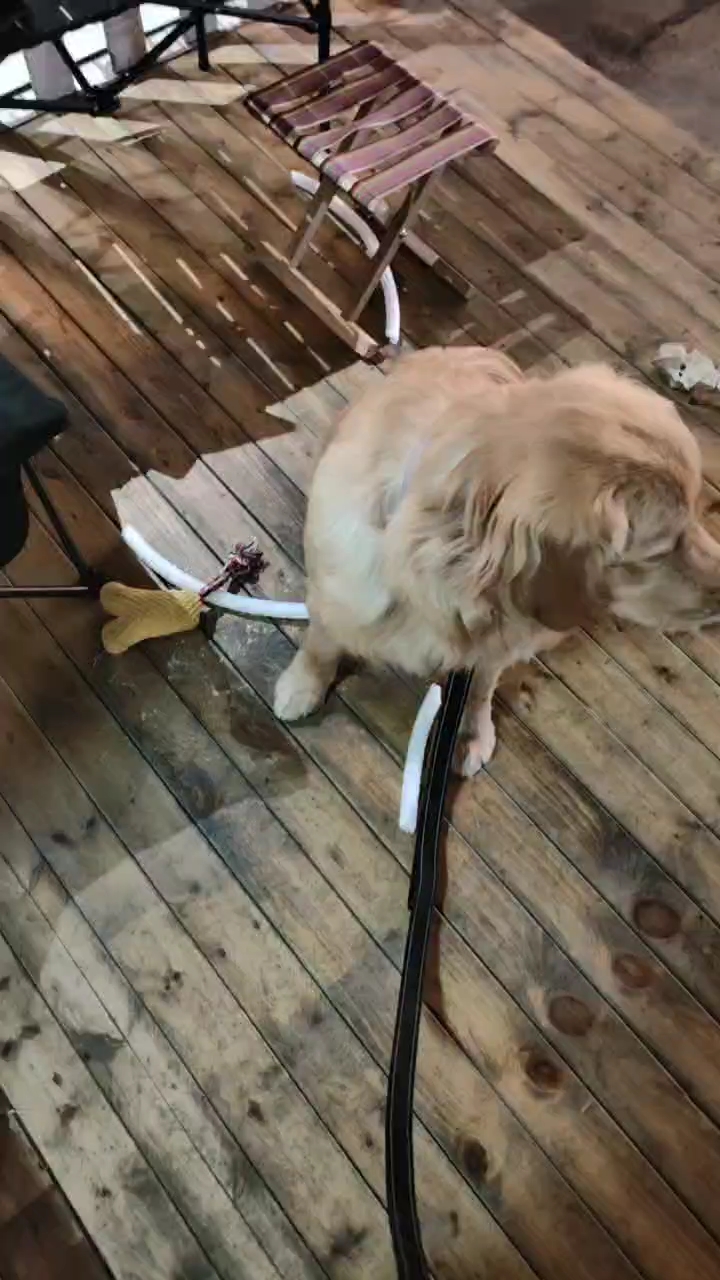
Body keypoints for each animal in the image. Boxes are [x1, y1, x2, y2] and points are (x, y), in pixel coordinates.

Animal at [274, 347, 720, 776]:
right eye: (661, 550)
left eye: (697, 509)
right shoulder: (335, 600)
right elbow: (319, 645)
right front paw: (301, 686)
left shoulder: (496, 647)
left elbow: (479, 687)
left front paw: (469, 733)